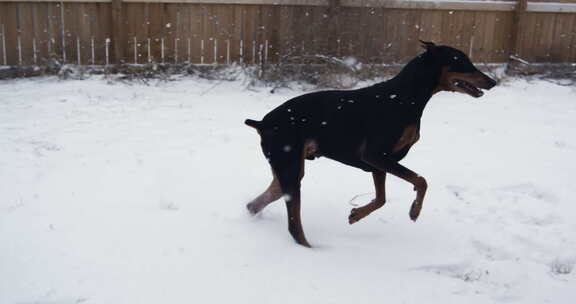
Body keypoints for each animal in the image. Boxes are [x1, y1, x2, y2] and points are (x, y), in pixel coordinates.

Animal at [243, 41, 496, 247]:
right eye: (461, 61)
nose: (493, 82)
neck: (405, 97)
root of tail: (262, 122)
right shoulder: (375, 155)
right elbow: (421, 181)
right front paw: (414, 211)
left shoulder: (379, 162)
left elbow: (382, 198)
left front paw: (356, 215)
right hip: (289, 165)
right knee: (294, 224)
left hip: (289, 167)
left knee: (261, 200)